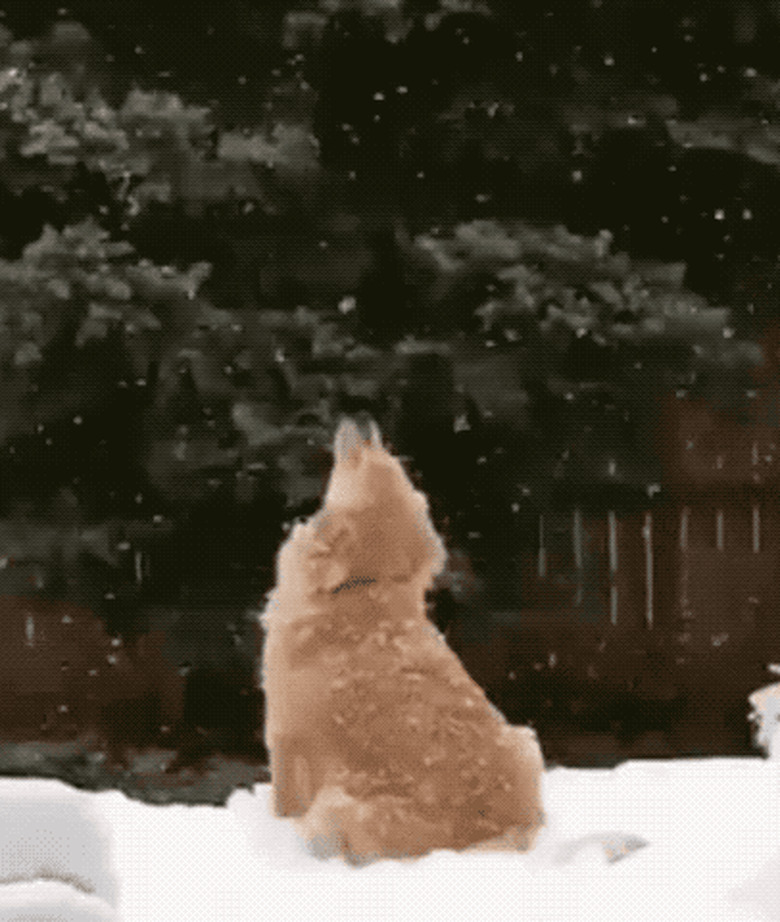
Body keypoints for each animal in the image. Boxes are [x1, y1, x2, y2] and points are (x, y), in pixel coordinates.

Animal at [258, 416, 544, 864]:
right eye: (401, 468)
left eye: (371, 465)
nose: (362, 419)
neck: (363, 591)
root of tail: (486, 833)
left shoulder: (284, 734)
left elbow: (282, 804)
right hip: (526, 741)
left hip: (337, 803)